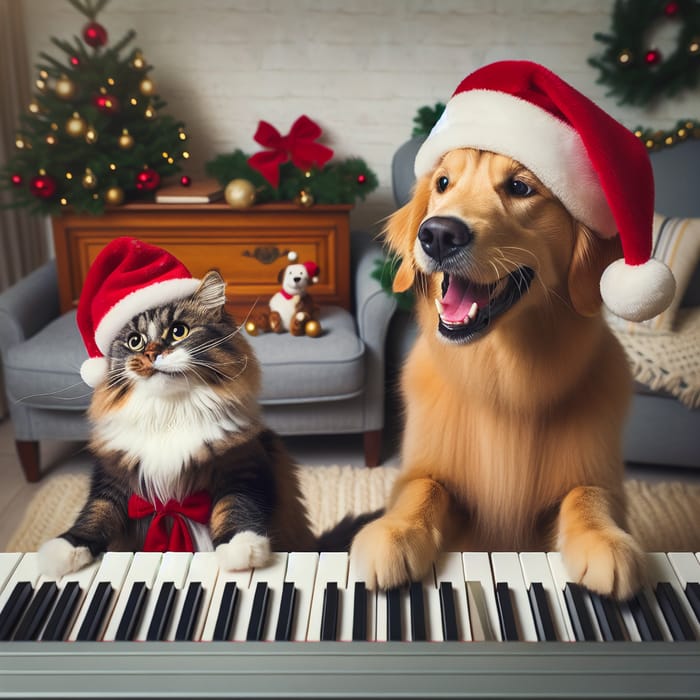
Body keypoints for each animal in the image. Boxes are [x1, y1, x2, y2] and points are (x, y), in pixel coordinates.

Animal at [37, 270, 360, 580]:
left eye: (178, 331)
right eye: (135, 341)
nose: (152, 353)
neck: (170, 413)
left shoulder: (242, 465)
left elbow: (234, 506)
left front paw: (241, 548)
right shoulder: (113, 477)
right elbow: (95, 513)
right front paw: (63, 551)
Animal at [350, 146, 644, 596]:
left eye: (520, 187)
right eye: (443, 183)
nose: (438, 234)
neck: (503, 380)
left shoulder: (601, 479)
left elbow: (586, 494)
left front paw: (604, 540)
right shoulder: (429, 477)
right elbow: (424, 487)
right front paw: (396, 531)